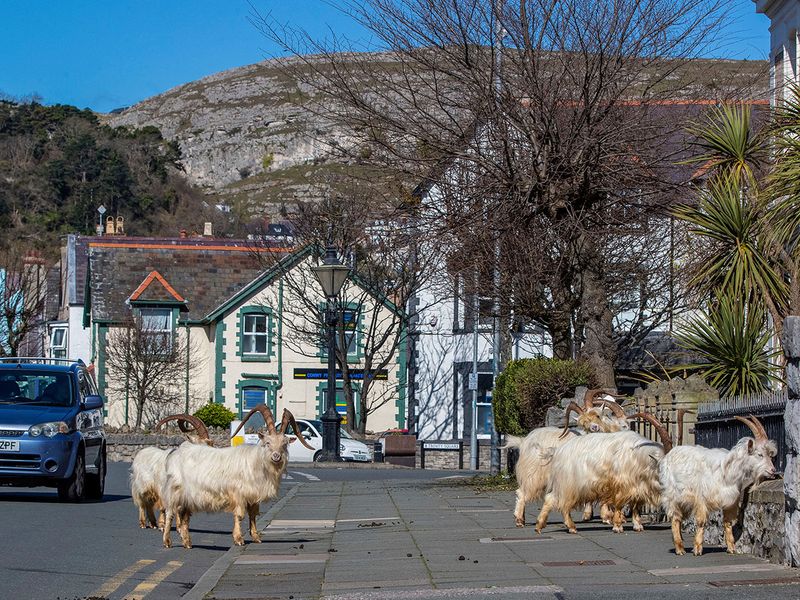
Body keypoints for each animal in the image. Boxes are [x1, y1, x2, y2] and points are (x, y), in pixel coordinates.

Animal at [161, 404, 314, 548]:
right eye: (267, 443)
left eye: (284, 444)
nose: (276, 456)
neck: (256, 462)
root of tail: (176, 452)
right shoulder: (238, 494)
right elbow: (240, 515)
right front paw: (239, 539)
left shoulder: (253, 496)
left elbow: (253, 514)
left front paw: (256, 537)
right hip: (174, 491)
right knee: (170, 513)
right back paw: (167, 541)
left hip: (188, 497)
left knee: (184, 516)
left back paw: (187, 542)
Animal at [536, 412, 672, 536]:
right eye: (662, 469)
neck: (638, 457)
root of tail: (558, 451)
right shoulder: (620, 484)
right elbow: (619, 504)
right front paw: (617, 526)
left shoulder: (637, 487)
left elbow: (635, 506)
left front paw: (638, 525)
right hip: (568, 484)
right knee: (561, 503)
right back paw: (571, 527)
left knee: (551, 499)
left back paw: (539, 526)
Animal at [656, 414, 776, 556]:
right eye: (759, 454)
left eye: (769, 454)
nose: (773, 470)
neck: (727, 472)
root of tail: (668, 455)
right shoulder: (701, 498)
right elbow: (701, 522)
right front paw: (697, 549)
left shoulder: (731, 500)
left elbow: (728, 522)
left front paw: (731, 548)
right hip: (672, 495)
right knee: (675, 518)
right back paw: (680, 549)